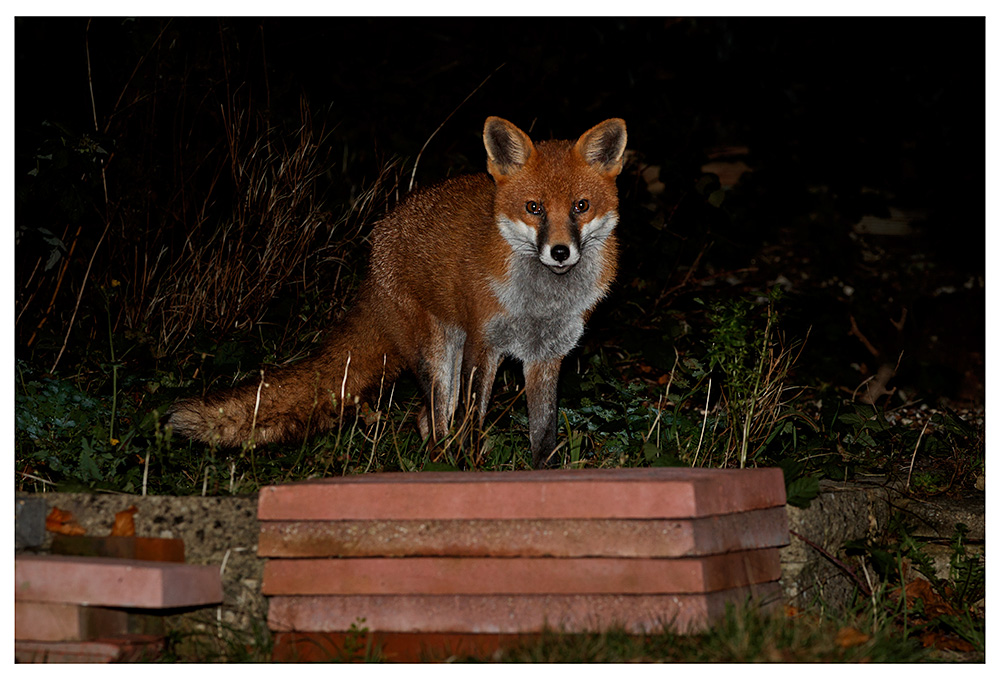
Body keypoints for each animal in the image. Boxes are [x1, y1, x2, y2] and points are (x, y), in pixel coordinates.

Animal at [167, 116, 628, 468]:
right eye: (534, 208)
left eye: (581, 206)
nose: (560, 251)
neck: (541, 305)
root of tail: (376, 248)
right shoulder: (484, 348)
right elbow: (473, 428)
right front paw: (474, 471)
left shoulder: (546, 357)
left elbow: (544, 437)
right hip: (438, 358)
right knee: (436, 421)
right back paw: (442, 466)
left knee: (428, 419)